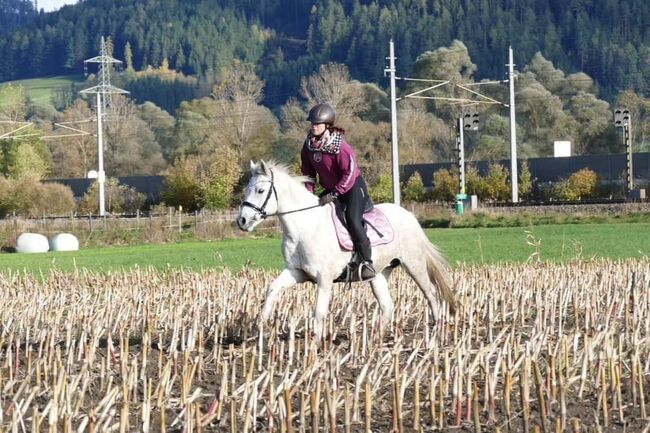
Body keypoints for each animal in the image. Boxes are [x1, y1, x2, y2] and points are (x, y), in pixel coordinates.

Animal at [235, 160, 454, 340]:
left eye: (260, 190)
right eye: (247, 189)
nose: (242, 221)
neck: (305, 226)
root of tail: (409, 215)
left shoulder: (324, 278)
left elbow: (319, 312)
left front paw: (314, 346)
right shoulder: (297, 272)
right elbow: (272, 289)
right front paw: (261, 328)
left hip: (414, 264)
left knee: (430, 293)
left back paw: (437, 331)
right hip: (379, 274)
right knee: (387, 305)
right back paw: (373, 341)